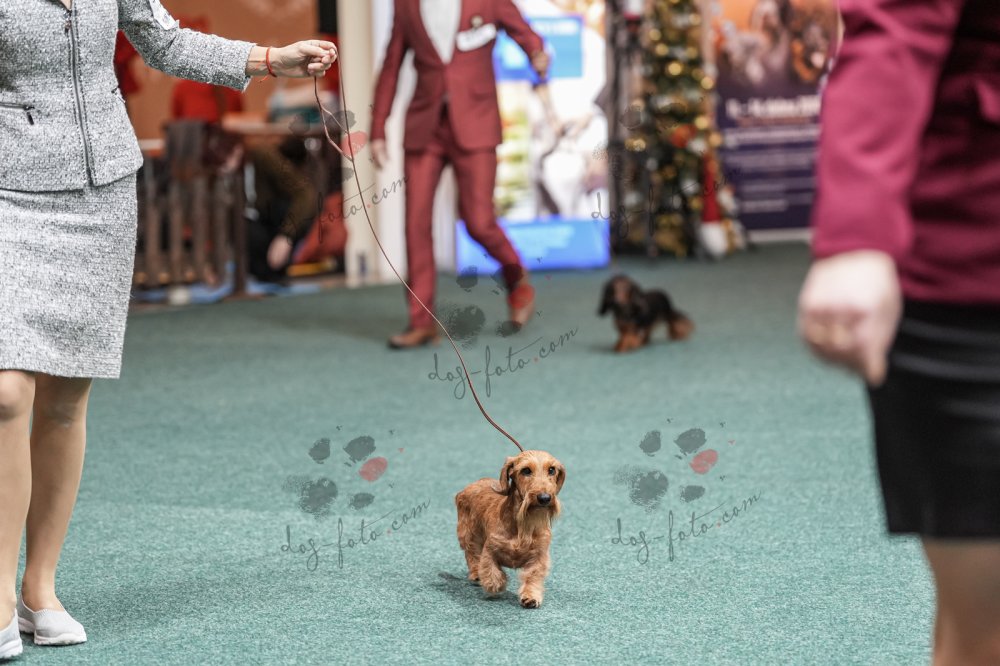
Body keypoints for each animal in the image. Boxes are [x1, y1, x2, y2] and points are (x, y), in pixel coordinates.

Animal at [455, 450, 565, 608]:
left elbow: (533, 576)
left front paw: (530, 597)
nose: (544, 498)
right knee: (472, 554)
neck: (523, 523)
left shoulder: (539, 556)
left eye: (551, 470)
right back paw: (476, 574)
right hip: (468, 534)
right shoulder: (490, 549)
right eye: (526, 470)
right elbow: (491, 571)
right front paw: (496, 584)